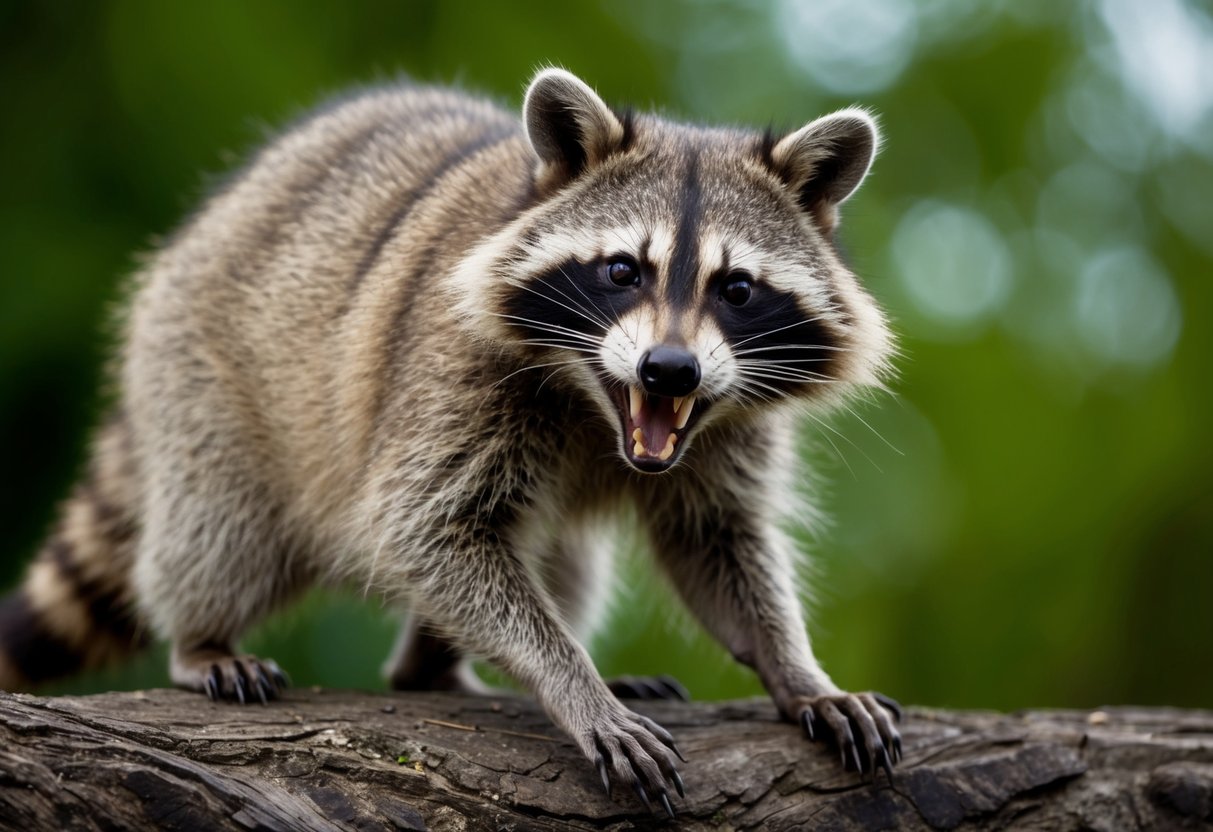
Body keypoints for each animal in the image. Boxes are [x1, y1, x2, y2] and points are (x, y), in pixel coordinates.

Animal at [0, 69, 900, 813]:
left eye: (736, 288)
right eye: (621, 272)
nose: (669, 369)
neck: (599, 407)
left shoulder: (728, 422)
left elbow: (715, 540)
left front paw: (795, 669)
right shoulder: (447, 366)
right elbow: (425, 531)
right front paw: (570, 681)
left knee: (564, 561)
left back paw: (432, 671)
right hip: (197, 363)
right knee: (224, 526)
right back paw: (203, 635)